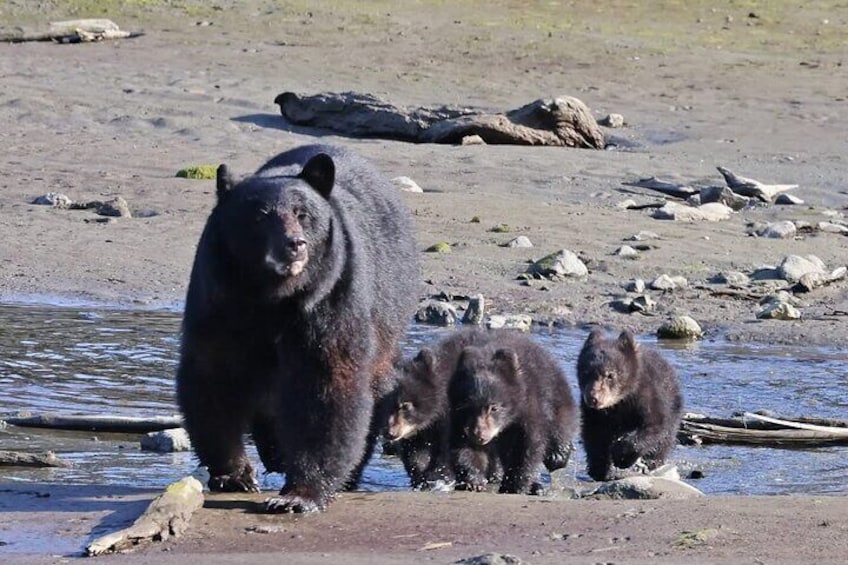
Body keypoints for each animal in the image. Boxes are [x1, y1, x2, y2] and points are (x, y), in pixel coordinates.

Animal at [175, 144, 419, 513]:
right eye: (260, 215)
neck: (272, 296)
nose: (295, 243)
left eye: (303, 213)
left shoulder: (330, 295)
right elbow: (214, 374)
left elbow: (327, 382)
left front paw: (299, 495)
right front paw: (236, 474)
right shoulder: (219, 297)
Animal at [384, 327, 502, 490]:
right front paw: (420, 477)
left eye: (405, 405)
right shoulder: (419, 430)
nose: (390, 433)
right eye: (385, 405)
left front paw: (441, 478)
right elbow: (415, 452)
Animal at [448, 332, 578, 494]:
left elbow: (526, 446)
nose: (479, 435)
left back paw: (557, 457)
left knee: (561, 424)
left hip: (555, 395)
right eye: (468, 406)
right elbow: (463, 446)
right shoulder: (459, 417)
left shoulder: (528, 410)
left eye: (494, 408)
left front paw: (514, 485)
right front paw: (473, 481)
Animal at [576, 329, 683, 481]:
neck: (619, 402)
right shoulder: (593, 413)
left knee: (664, 443)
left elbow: (653, 426)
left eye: (610, 375)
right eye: (585, 372)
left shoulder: (649, 397)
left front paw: (621, 456)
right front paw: (599, 469)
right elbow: (594, 434)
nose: (593, 398)